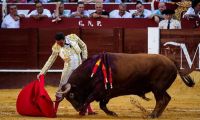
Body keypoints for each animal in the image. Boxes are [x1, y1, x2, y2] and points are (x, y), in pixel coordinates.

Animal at [58, 53, 195, 118]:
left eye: (71, 95)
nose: (77, 108)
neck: (93, 71)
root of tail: (170, 60)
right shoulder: (106, 93)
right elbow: (102, 105)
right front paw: (112, 114)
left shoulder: (99, 91)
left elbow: (89, 99)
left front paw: (82, 111)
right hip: (159, 89)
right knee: (167, 98)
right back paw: (157, 115)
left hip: (157, 88)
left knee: (161, 100)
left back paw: (152, 115)